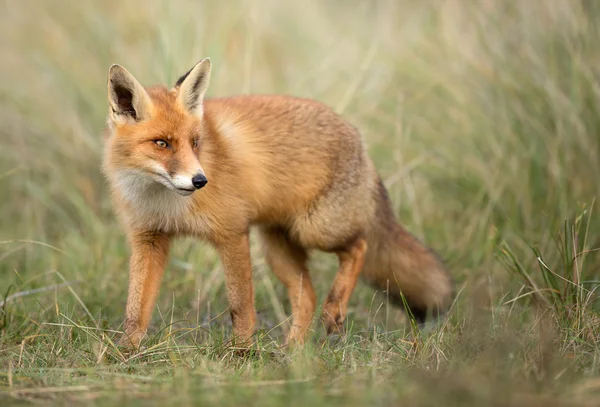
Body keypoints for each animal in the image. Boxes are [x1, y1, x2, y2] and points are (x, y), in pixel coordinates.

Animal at [103, 59, 452, 350]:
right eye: (162, 143)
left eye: (195, 143)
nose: (200, 180)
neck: (165, 203)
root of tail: (358, 138)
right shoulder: (149, 239)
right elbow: (136, 308)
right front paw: (124, 354)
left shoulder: (232, 233)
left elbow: (240, 305)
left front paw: (241, 352)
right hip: (277, 248)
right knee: (307, 296)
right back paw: (293, 351)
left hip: (316, 229)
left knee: (359, 246)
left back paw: (335, 309)